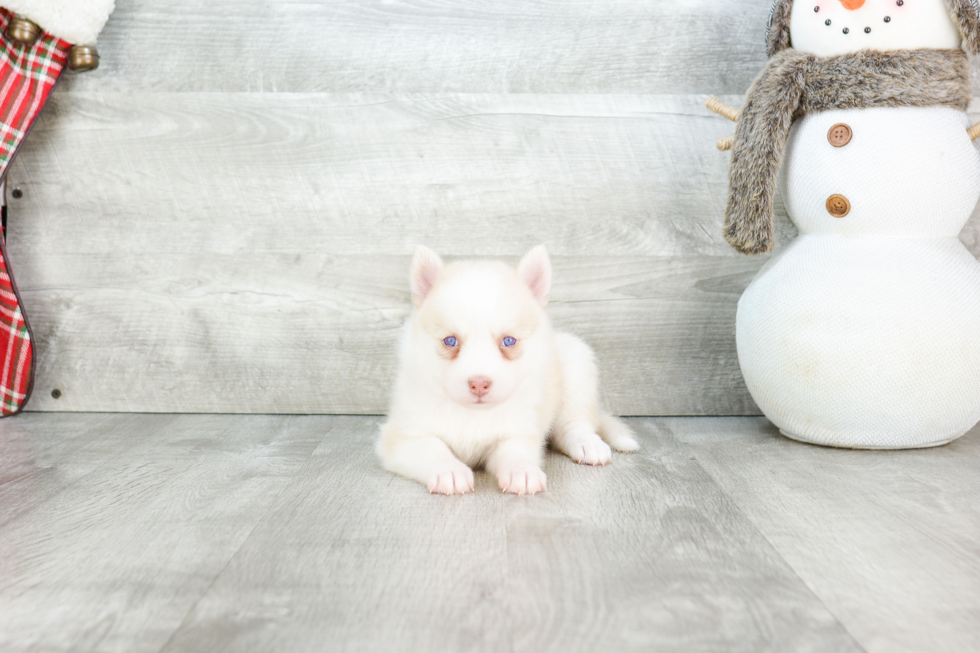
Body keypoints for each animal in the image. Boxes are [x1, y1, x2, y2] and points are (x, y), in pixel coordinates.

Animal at [374, 244, 636, 494]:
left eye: (509, 341)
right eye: (450, 341)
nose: (479, 383)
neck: (472, 415)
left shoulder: (518, 433)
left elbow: (515, 451)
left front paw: (523, 471)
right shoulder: (403, 436)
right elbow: (432, 448)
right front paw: (448, 471)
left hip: (575, 358)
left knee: (573, 424)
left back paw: (587, 444)